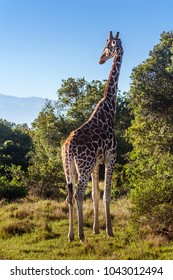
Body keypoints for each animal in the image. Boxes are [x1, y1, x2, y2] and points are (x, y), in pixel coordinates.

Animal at [61, 30, 123, 241]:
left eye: (107, 47)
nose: (100, 59)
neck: (109, 109)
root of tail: (68, 146)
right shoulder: (111, 157)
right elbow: (106, 194)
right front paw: (109, 231)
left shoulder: (97, 163)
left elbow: (96, 195)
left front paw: (96, 228)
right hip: (84, 165)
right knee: (78, 193)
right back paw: (80, 234)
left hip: (69, 167)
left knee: (69, 195)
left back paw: (71, 234)